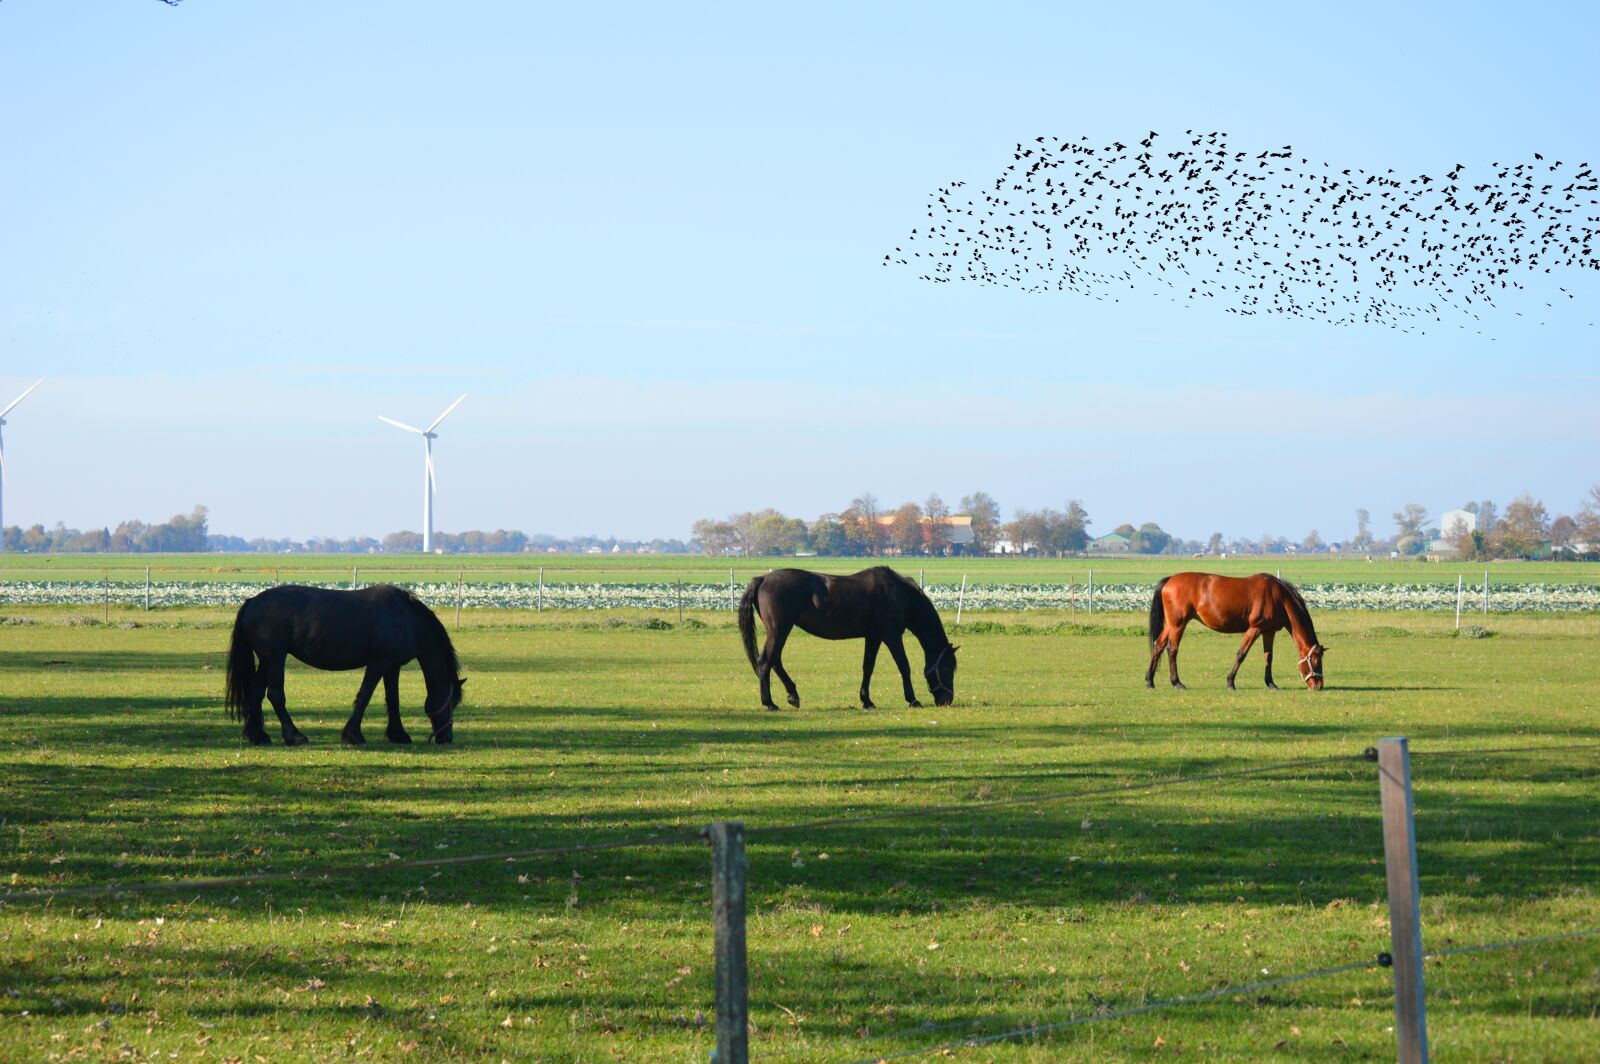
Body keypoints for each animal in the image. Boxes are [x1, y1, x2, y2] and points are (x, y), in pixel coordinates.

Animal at [224, 585, 465, 745]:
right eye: (451, 701)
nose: (447, 738)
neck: (407, 617)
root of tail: (252, 601)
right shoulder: (378, 663)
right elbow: (364, 697)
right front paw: (353, 735)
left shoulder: (392, 666)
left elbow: (393, 700)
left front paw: (399, 734)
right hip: (275, 659)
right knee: (275, 695)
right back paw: (295, 736)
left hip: (267, 661)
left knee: (255, 692)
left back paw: (258, 736)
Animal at [738, 566, 958, 711]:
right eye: (947, 668)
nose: (946, 700)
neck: (901, 595)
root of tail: (763, 579)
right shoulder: (891, 635)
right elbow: (904, 665)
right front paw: (912, 700)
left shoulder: (874, 637)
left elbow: (868, 667)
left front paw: (867, 701)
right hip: (779, 630)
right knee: (765, 661)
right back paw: (770, 703)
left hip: (779, 631)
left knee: (774, 660)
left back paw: (792, 694)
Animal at [1145, 572, 1326, 690]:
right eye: (1316, 661)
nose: (1318, 685)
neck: (1278, 597)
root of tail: (1169, 580)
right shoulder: (1255, 628)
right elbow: (1241, 654)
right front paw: (1230, 682)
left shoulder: (1269, 632)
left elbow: (1268, 657)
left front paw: (1271, 683)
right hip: (1178, 625)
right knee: (1172, 650)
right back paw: (1177, 682)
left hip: (1170, 625)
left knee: (1158, 646)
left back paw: (1150, 681)